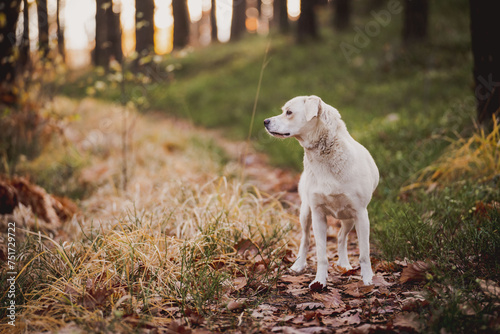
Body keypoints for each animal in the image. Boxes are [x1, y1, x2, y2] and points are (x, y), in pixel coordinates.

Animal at [264, 95, 376, 288]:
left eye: (289, 112)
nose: (265, 122)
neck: (326, 154)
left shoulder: (361, 214)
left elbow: (364, 253)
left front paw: (367, 280)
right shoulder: (318, 215)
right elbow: (321, 255)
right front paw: (319, 281)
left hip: (349, 219)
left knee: (341, 237)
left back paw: (344, 264)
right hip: (305, 213)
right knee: (305, 240)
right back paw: (299, 265)